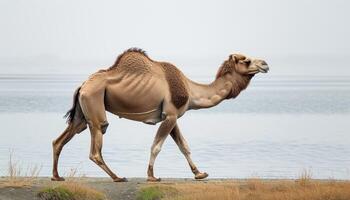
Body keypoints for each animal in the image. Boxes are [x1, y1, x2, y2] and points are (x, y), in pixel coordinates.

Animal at [51, 47, 268, 182]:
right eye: (246, 60)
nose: (265, 64)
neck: (191, 90)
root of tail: (82, 86)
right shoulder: (170, 115)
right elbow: (156, 146)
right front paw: (152, 176)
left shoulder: (172, 117)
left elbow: (184, 146)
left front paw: (199, 174)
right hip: (95, 105)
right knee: (96, 146)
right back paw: (118, 177)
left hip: (82, 114)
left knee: (60, 140)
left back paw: (57, 176)